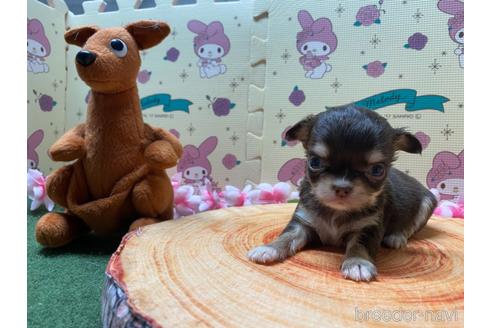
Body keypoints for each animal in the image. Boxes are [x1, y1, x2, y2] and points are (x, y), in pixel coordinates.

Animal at [248, 105, 436, 282]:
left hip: (427, 203)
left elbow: (359, 246)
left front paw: (357, 263)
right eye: (314, 162)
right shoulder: (302, 222)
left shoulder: (368, 227)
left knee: (411, 227)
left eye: (377, 170)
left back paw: (396, 237)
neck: (336, 211)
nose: (342, 187)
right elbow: (286, 236)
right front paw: (269, 248)